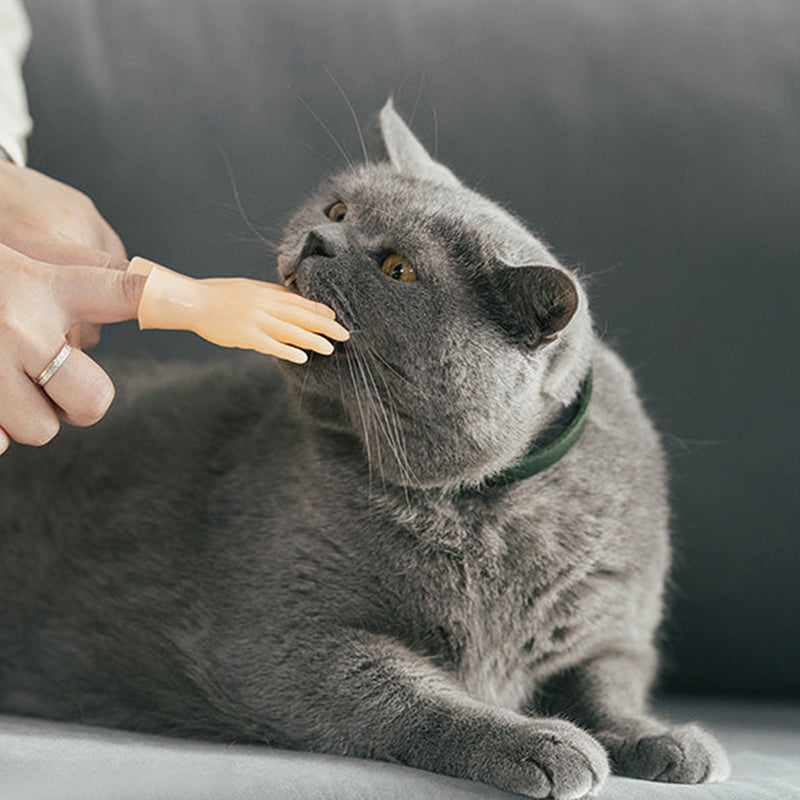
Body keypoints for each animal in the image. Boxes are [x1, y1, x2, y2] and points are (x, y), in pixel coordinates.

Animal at [0, 101, 732, 800]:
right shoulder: (282, 639)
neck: (482, 502)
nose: (321, 239)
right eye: (338, 210)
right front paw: (537, 742)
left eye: (397, 268)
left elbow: (608, 686)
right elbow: (412, 694)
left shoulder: (610, 628)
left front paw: (666, 739)